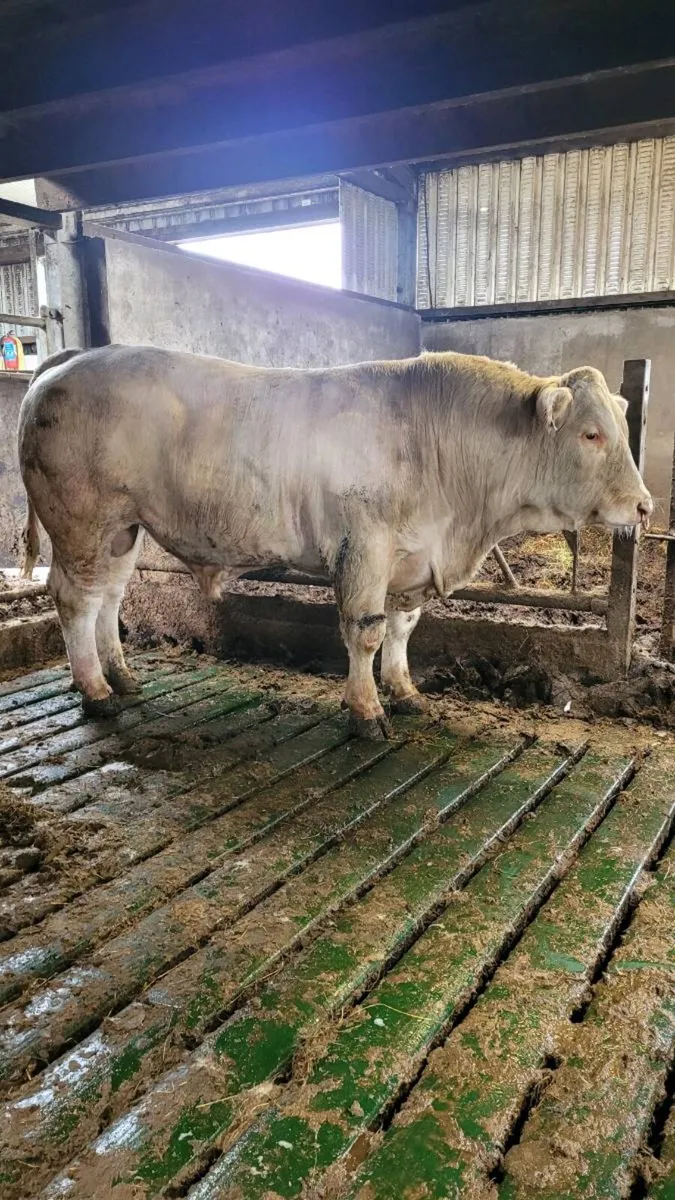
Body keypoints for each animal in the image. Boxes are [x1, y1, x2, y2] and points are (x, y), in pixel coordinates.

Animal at [18, 344, 652, 738]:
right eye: (590, 434)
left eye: (618, 431)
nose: (645, 506)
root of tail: (76, 358)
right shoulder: (365, 547)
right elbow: (366, 632)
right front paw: (366, 711)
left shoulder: (409, 559)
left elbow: (402, 629)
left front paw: (404, 691)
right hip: (82, 521)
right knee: (75, 600)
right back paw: (95, 690)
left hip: (122, 531)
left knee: (109, 598)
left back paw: (123, 677)